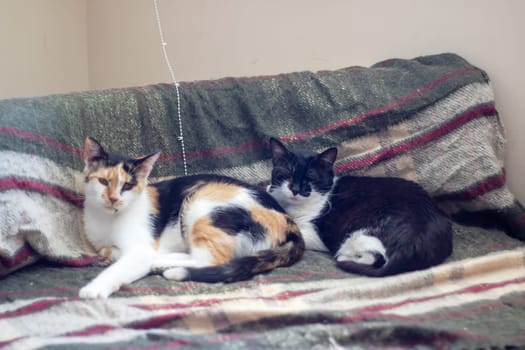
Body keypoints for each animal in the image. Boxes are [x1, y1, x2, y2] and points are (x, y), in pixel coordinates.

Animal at [80, 137, 304, 298]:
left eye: (127, 186)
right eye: (102, 181)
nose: (113, 199)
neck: (107, 219)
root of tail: (289, 222)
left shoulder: (141, 249)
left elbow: (127, 263)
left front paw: (95, 288)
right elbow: (107, 250)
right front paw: (108, 255)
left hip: (200, 202)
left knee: (211, 259)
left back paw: (162, 264)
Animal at [268, 138, 452, 278]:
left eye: (310, 178)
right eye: (287, 174)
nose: (295, 189)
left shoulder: (318, 235)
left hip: (361, 230)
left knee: (376, 257)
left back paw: (344, 257)